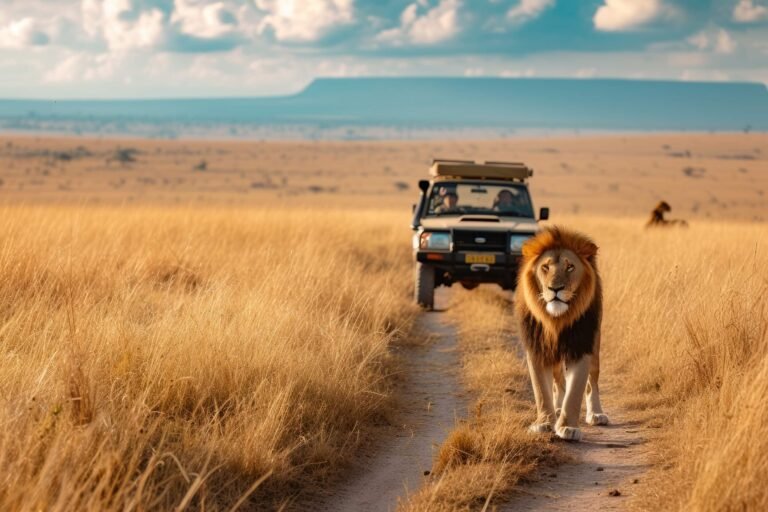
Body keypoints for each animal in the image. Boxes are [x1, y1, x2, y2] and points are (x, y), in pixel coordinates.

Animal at [514, 226, 608, 442]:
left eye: (570, 267)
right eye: (545, 267)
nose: (555, 288)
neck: (556, 320)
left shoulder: (582, 347)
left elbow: (575, 392)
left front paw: (568, 427)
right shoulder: (537, 349)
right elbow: (541, 391)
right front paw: (544, 422)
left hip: (595, 345)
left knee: (592, 382)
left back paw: (596, 413)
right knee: (558, 380)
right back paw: (556, 409)